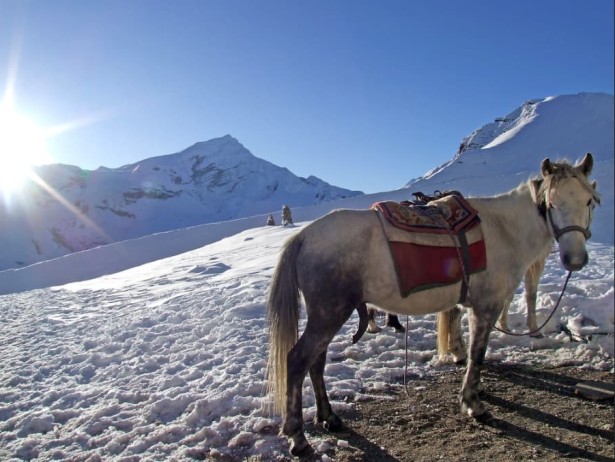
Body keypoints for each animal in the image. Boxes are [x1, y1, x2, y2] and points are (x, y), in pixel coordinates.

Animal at [268, 154, 600, 454]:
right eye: (551, 203)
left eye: (588, 201)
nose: (574, 259)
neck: (503, 229)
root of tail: (304, 236)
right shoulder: (486, 307)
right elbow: (477, 354)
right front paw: (473, 403)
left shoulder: (468, 305)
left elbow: (464, 341)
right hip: (329, 313)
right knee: (297, 360)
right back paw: (297, 437)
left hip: (327, 316)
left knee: (316, 362)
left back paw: (329, 417)